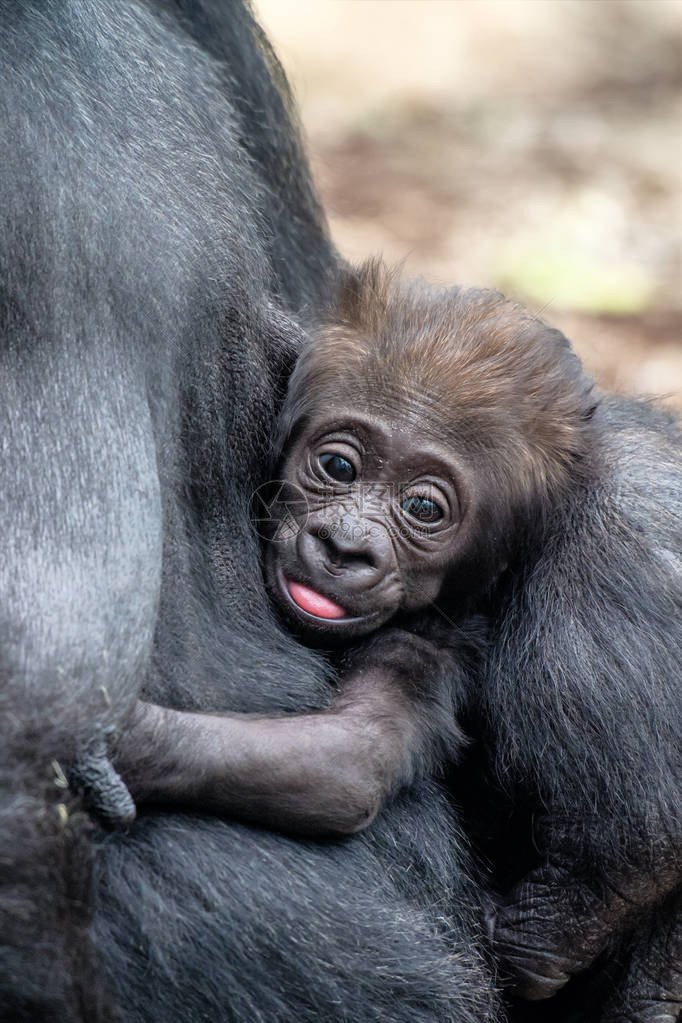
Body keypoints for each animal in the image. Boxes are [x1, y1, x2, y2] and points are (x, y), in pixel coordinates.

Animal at [111, 259, 597, 834]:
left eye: (423, 509)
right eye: (339, 466)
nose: (344, 547)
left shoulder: (432, 640)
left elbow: (350, 760)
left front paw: (119, 740)